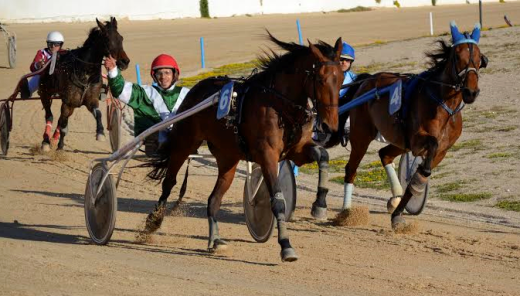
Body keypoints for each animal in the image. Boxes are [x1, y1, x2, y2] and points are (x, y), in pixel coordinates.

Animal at [37, 16, 129, 150]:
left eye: (121, 37)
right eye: (107, 39)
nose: (125, 61)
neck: (86, 73)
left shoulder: (91, 100)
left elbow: (98, 114)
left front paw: (100, 133)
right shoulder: (67, 102)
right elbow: (63, 125)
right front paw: (58, 146)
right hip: (45, 93)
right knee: (50, 116)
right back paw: (46, 142)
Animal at [145, 33, 346, 262]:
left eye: (341, 79)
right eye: (320, 80)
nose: (330, 126)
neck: (280, 105)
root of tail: (196, 89)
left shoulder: (297, 151)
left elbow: (324, 156)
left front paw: (320, 205)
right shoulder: (267, 156)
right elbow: (278, 201)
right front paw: (286, 246)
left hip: (228, 158)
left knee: (213, 200)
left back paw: (215, 240)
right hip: (185, 142)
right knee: (169, 182)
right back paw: (153, 221)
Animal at [324, 22, 488, 228]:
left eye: (479, 58)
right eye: (457, 56)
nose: (471, 92)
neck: (444, 105)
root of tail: (365, 82)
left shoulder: (441, 150)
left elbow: (421, 173)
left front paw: (398, 213)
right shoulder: (418, 140)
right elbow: (426, 159)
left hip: (400, 141)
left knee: (384, 154)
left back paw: (395, 197)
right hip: (362, 135)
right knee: (351, 169)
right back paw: (347, 213)